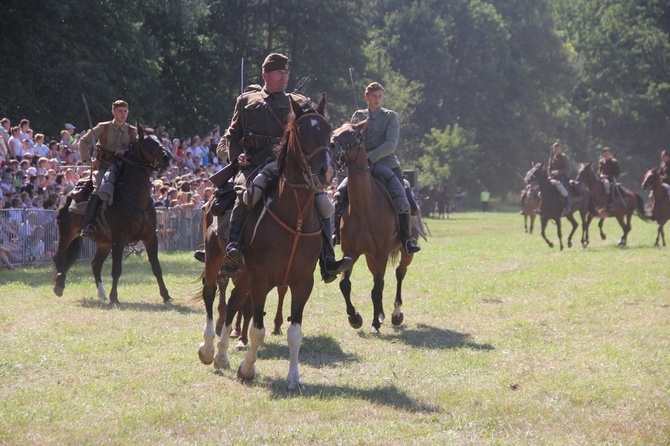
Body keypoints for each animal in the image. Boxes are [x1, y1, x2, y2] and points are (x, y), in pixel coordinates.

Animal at [53, 126, 173, 306]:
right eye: (146, 141)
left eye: (158, 138)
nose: (167, 158)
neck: (136, 197)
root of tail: (66, 196)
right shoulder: (119, 238)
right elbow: (116, 269)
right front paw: (114, 297)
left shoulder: (150, 237)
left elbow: (156, 267)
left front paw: (166, 295)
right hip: (68, 233)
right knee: (59, 257)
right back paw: (59, 285)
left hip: (103, 243)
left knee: (95, 264)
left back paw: (101, 293)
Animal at [196, 95, 334, 390]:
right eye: (302, 130)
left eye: (328, 129)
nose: (326, 171)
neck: (294, 215)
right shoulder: (261, 281)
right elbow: (257, 330)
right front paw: (247, 370)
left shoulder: (303, 283)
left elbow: (295, 332)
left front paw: (294, 378)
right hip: (216, 261)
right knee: (211, 295)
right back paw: (208, 349)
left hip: (243, 274)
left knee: (233, 303)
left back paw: (222, 356)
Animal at [330, 120, 420, 332]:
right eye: (336, 130)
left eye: (352, 133)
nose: (331, 145)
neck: (364, 208)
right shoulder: (350, 252)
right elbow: (345, 285)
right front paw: (355, 318)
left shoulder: (381, 253)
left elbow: (377, 288)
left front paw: (374, 322)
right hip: (370, 257)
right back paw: (380, 314)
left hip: (405, 252)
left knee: (399, 274)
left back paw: (395, 314)